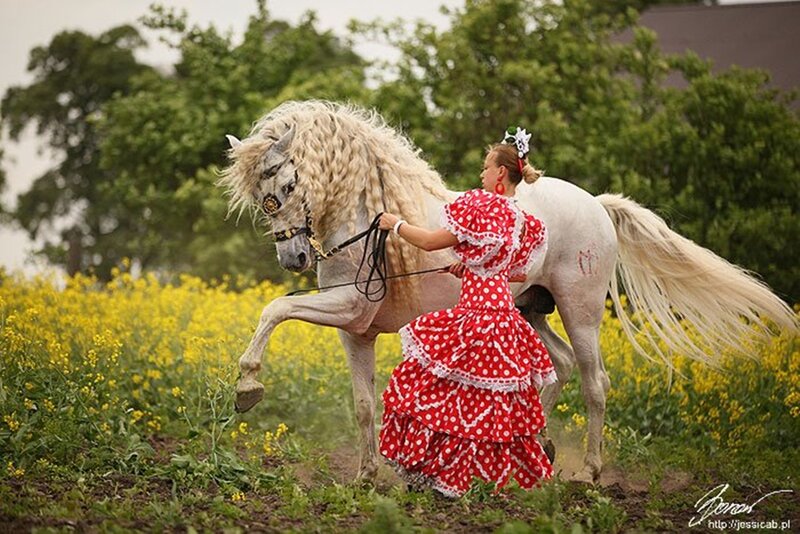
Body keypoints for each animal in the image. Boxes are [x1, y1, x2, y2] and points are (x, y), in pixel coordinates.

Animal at [219, 100, 797, 484]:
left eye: (283, 186)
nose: (294, 259)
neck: (367, 221)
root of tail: (596, 204)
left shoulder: (347, 307)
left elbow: (275, 308)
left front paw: (248, 386)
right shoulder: (354, 330)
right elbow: (362, 406)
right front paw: (365, 477)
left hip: (581, 312)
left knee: (595, 382)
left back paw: (588, 473)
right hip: (532, 311)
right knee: (559, 367)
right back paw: (538, 448)